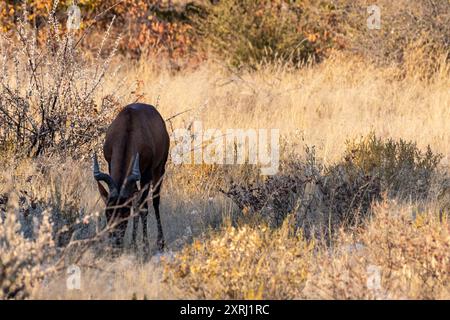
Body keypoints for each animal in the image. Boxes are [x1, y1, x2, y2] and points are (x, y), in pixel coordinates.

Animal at [92, 104, 170, 254]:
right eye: (108, 213)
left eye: (125, 213)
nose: (115, 245)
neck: (129, 126)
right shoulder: (111, 165)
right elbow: (135, 204)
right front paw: (134, 245)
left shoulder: (146, 174)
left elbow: (143, 208)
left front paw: (145, 246)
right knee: (136, 200)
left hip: (159, 168)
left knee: (155, 200)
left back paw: (160, 243)